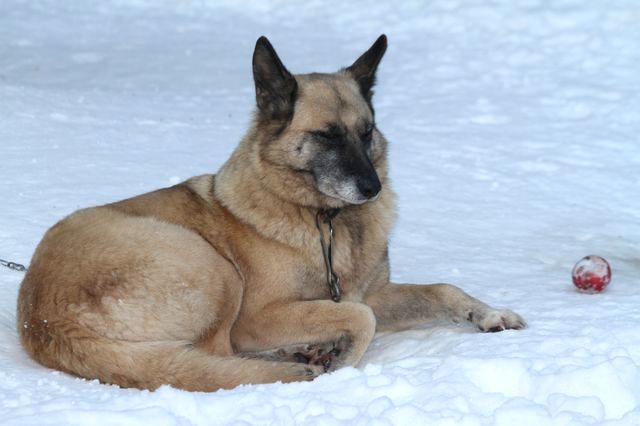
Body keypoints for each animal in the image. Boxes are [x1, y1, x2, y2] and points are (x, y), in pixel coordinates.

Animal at [16, 35, 524, 392]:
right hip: (212, 267)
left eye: (366, 132)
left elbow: (440, 290)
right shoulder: (261, 316)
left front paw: (488, 313)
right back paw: (293, 360)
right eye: (327, 135)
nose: (372, 189)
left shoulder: (369, 293)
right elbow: (362, 318)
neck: (325, 220)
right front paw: (340, 364)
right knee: (216, 356)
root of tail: (43, 322)